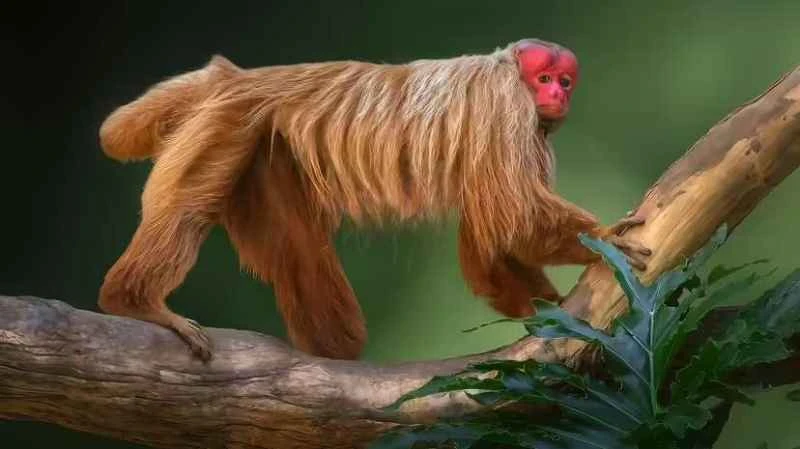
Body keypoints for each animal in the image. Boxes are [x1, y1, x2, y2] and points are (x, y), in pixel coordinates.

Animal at [97, 38, 650, 362]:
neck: (512, 74)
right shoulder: (506, 108)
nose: (557, 95)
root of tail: (238, 77)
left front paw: (545, 305)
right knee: (188, 211)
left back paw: (330, 349)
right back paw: (134, 301)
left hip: (260, 147)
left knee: (297, 246)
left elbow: (489, 238)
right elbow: (510, 214)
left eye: (565, 80)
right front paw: (602, 240)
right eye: (544, 79)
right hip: (223, 126)